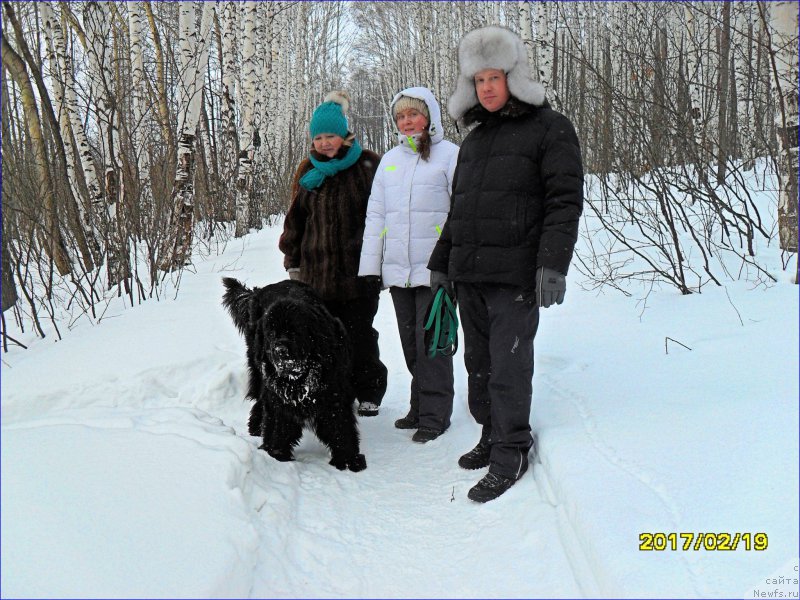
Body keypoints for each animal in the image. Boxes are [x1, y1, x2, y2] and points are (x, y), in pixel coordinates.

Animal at [222, 278, 366, 472]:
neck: (299, 379)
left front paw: (348, 458)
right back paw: (256, 425)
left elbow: (339, 425)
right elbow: (279, 425)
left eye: (295, 332)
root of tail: (259, 290)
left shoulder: (333, 392)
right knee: (260, 397)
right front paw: (276, 454)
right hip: (258, 367)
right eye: (271, 334)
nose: (279, 350)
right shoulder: (278, 398)